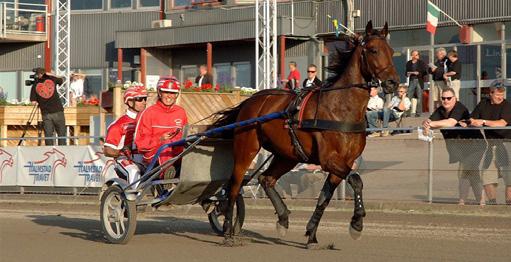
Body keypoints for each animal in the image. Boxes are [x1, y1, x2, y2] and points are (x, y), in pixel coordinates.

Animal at [211, 21, 400, 248]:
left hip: (287, 154)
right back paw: (228, 230)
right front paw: (357, 222)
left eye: (391, 51)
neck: (341, 107)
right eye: (373, 50)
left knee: (266, 179)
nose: (393, 82)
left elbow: (324, 198)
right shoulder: (330, 160)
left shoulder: (343, 163)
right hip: (246, 148)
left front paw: (312, 234)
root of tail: (251, 100)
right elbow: (356, 180)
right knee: (234, 186)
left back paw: (283, 218)